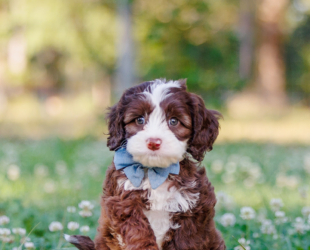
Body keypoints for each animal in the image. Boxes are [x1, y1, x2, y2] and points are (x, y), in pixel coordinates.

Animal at [66, 79, 225, 250]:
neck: (156, 172)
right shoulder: (124, 203)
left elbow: (185, 240)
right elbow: (139, 235)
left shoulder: (195, 208)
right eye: (139, 120)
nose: (153, 142)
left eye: (174, 121)